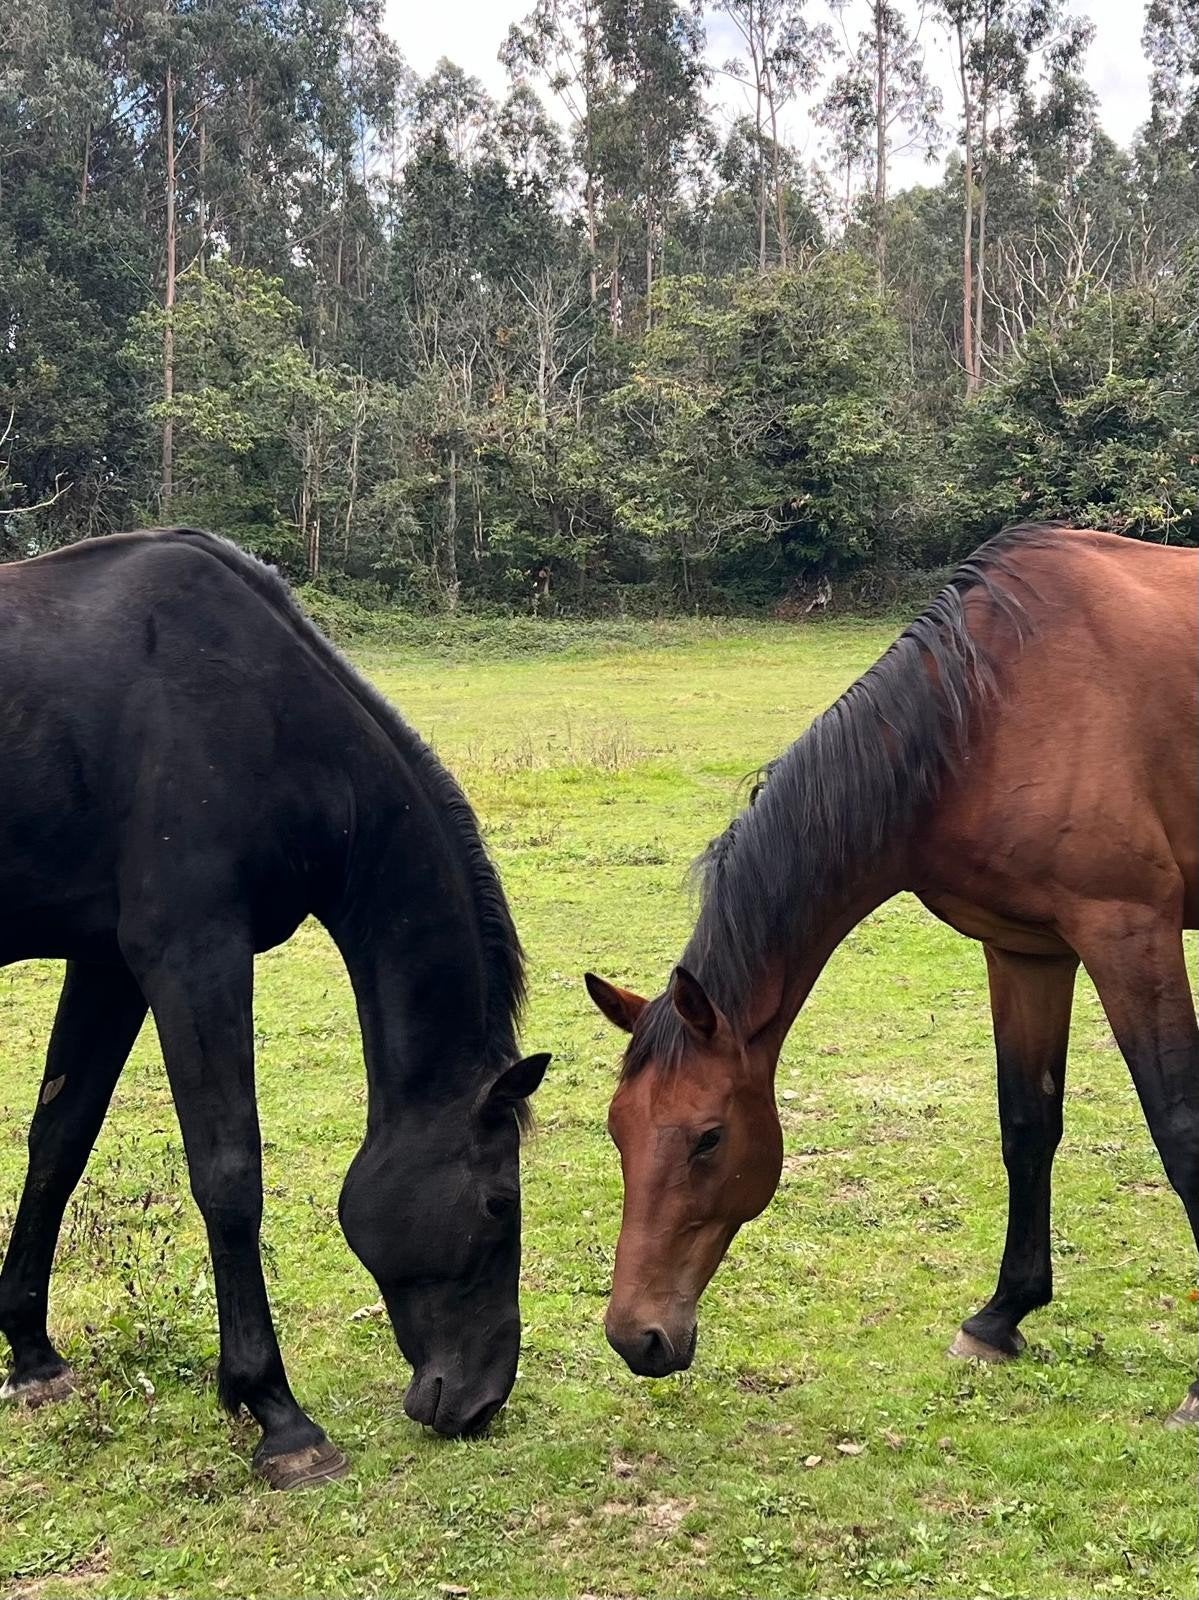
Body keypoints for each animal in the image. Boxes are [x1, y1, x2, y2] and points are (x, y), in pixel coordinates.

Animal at [0, 528, 550, 1488]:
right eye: (495, 1208)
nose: (481, 1400)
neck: (263, 715)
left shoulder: (106, 963)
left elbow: (59, 1143)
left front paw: (32, 1357)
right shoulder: (192, 953)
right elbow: (228, 1176)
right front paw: (277, 1413)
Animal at [585, 524, 1199, 1427]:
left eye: (708, 1138)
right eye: (617, 1130)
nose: (637, 1337)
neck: (989, 711)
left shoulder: (1128, 931)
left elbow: (1179, 1130)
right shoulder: (1026, 949)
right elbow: (1027, 1125)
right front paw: (999, 1316)